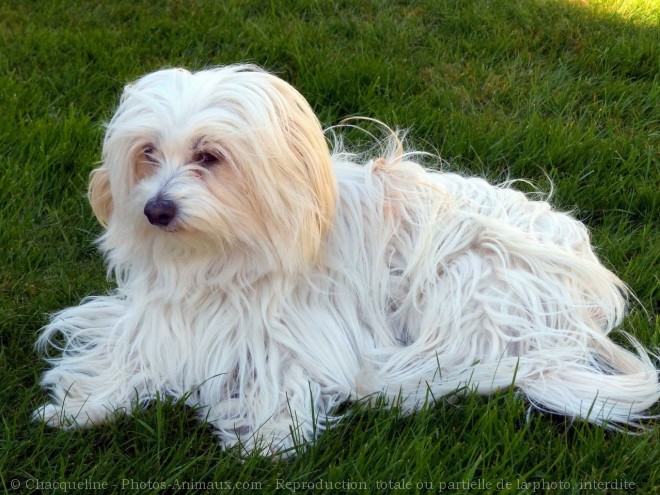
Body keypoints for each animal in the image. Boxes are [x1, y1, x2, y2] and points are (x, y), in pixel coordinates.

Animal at [37, 64, 660, 456]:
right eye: (147, 152)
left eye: (208, 156)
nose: (156, 210)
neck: (222, 255)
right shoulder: (162, 319)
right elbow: (132, 356)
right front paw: (84, 405)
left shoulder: (305, 332)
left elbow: (289, 376)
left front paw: (271, 435)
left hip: (468, 279)